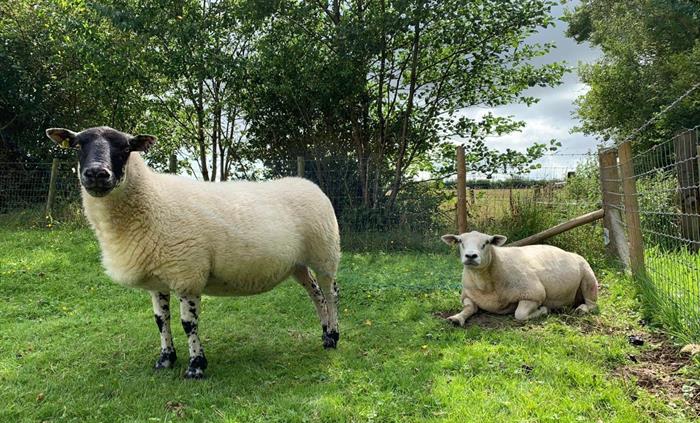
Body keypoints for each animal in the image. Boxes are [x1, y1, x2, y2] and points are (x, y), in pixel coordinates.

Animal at [45, 126, 341, 379]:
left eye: (126, 147)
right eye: (77, 145)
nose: (97, 174)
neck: (151, 200)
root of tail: (309, 183)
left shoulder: (187, 274)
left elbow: (189, 324)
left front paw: (196, 366)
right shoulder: (158, 281)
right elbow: (160, 320)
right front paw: (165, 359)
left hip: (325, 253)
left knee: (330, 293)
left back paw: (334, 336)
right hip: (298, 263)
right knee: (315, 294)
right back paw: (325, 334)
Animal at [440, 231, 598, 325]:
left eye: (486, 243)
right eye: (460, 241)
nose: (471, 256)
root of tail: (570, 253)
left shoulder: (533, 294)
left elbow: (520, 314)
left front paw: (543, 310)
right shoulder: (467, 296)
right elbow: (469, 308)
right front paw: (457, 318)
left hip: (589, 278)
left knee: (592, 303)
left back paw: (582, 309)